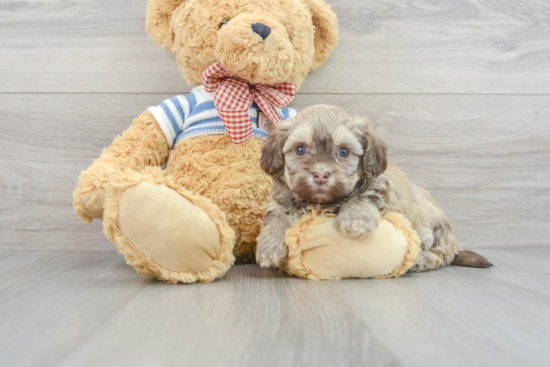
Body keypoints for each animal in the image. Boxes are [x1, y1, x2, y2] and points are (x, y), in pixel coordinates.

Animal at [256, 105, 494, 272]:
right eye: (300, 150)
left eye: (344, 152)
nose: (321, 174)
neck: (323, 201)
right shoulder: (280, 200)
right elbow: (276, 218)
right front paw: (268, 248)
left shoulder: (378, 188)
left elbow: (361, 198)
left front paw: (354, 222)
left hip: (431, 226)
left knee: (443, 254)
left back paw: (422, 259)